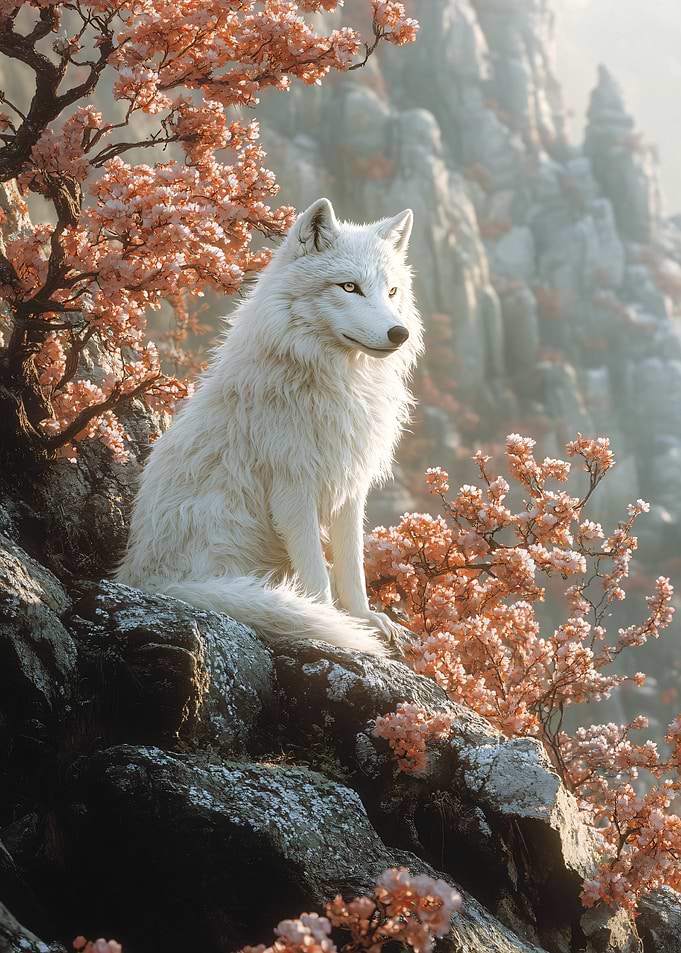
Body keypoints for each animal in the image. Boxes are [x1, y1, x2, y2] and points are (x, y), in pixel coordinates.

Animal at [116, 197, 423, 656]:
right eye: (349, 287)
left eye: (391, 292)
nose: (398, 333)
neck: (336, 381)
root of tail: (145, 581)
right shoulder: (293, 487)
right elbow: (317, 574)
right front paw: (331, 621)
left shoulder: (350, 486)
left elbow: (352, 567)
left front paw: (364, 618)